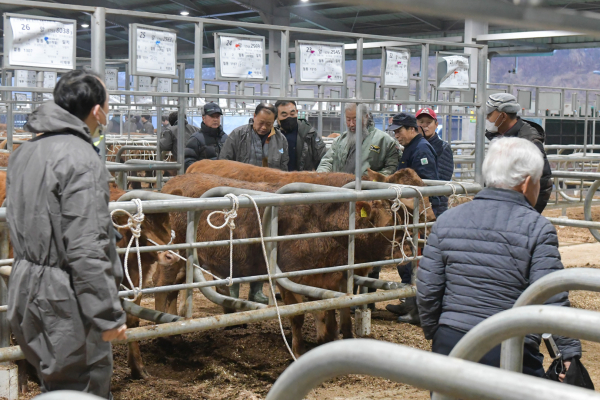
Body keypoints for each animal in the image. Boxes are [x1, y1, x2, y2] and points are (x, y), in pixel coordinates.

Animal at [160, 170, 429, 357]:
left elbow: (334, 313)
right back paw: (168, 336)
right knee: (166, 289)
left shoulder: (333, 278)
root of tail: (176, 180)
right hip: (173, 258)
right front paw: (299, 351)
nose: (410, 246)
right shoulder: (289, 277)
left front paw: (333, 339)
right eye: (393, 219)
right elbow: (299, 316)